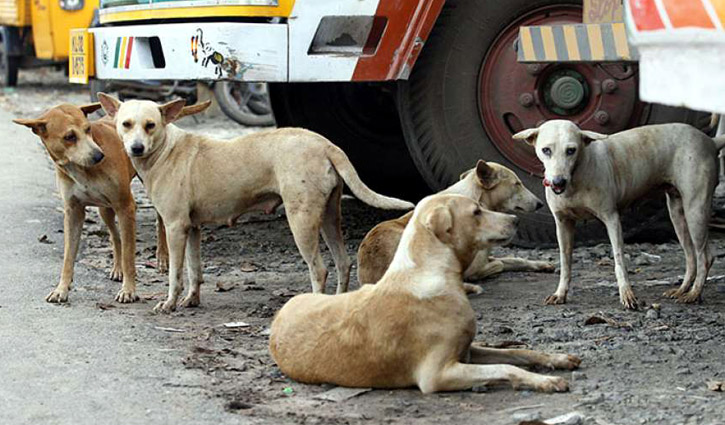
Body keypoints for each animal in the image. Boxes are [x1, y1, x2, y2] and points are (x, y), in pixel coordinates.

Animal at [96, 93, 412, 312]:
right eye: (126, 125)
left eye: (150, 125)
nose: (136, 148)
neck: (165, 150)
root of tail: (325, 144)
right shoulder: (193, 228)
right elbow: (194, 270)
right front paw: (191, 300)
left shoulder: (175, 228)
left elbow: (175, 273)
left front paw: (170, 303)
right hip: (328, 218)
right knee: (344, 263)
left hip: (301, 220)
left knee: (320, 269)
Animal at [268, 194, 580, 392]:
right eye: (476, 211)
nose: (516, 220)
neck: (431, 272)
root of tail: (281, 312)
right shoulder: (439, 374)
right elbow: (505, 368)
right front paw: (546, 382)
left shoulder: (467, 351)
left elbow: (518, 352)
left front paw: (557, 359)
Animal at [358, 159, 556, 292]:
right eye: (517, 184)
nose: (540, 203)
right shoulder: (474, 267)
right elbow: (499, 263)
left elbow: (515, 259)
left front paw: (541, 265)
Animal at [516, 119, 724, 308]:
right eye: (546, 150)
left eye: (571, 150)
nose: (558, 182)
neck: (577, 176)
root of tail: (710, 140)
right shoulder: (563, 224)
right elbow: (565, 263)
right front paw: (560, 294)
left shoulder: (612, 219)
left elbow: (619, 262)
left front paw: (627, 295)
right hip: (677, 213)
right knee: (690, 256)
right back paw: (682, 289)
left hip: (695, 210)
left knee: (705, 256)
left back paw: (694, 294)